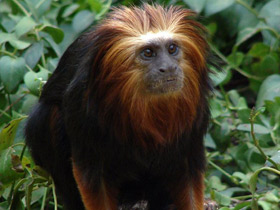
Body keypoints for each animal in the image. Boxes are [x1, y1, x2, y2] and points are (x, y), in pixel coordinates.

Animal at [25, 3, 214, 210]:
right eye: (148, 53)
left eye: (172, 49)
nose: (169, 67)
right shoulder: (80, 104)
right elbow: (92, 177)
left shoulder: (195, 118)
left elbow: (187, 171)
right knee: (47, 116)